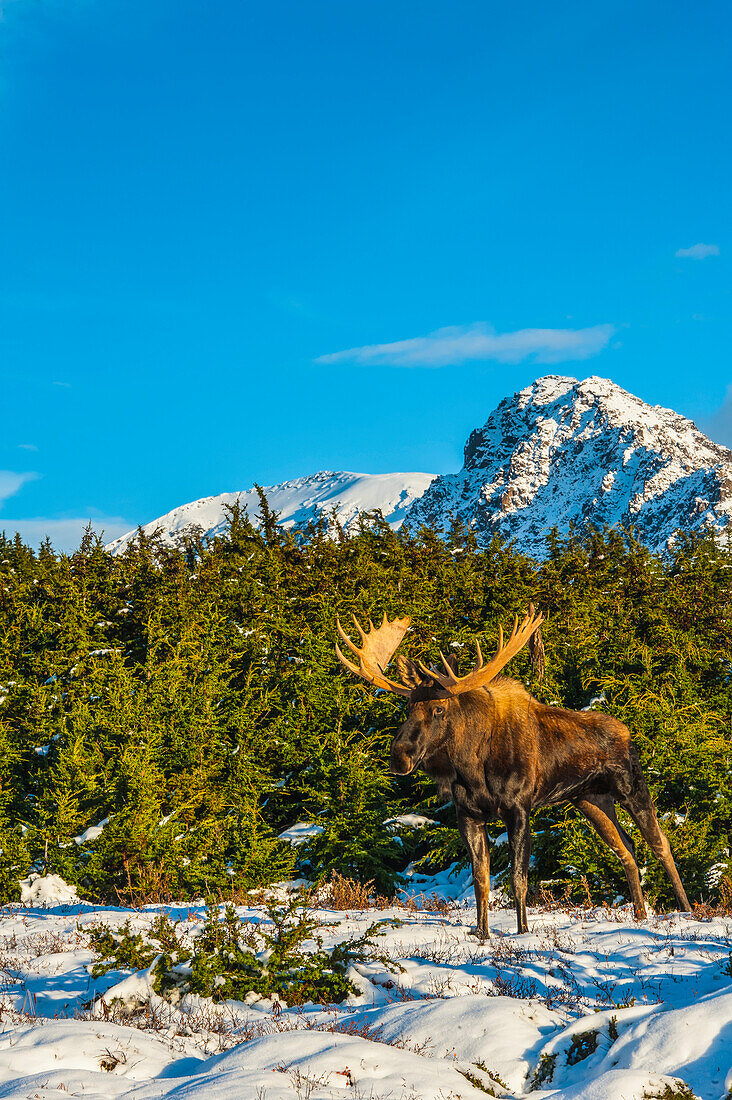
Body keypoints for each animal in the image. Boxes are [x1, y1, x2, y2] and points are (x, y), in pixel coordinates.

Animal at [336, 607, 691, 932]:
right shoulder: (468, 814)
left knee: (661, 843)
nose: (400, 756)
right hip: (589, 799)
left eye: (438, 709)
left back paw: (687, 910)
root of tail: (627, 732)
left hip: (631, 786)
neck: (472, 767)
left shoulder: (518, 808)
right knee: (626, 848)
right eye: (408, 707)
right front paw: (481, 934)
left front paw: (522, 932)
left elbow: (519, 880)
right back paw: (640, 915)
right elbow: (481, 880)